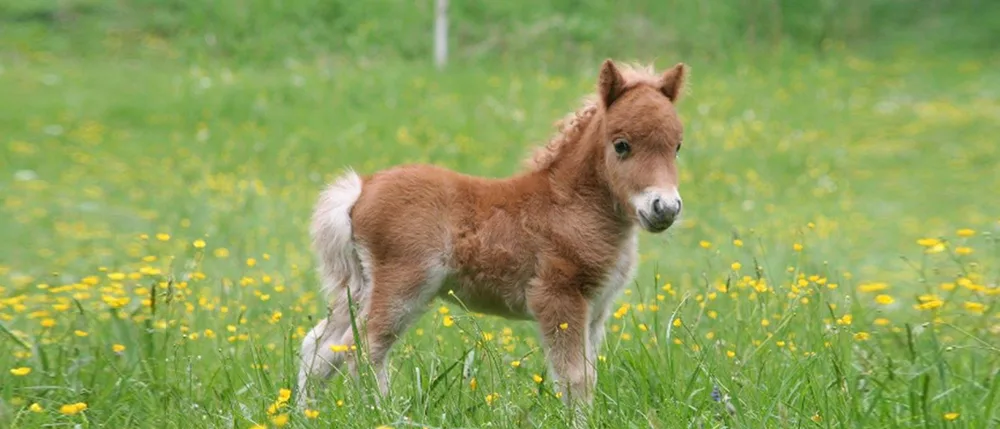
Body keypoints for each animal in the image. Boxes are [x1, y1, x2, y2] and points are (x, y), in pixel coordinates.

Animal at [297, 59, 689, 411]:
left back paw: (304, 413)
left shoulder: (596, 309)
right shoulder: (558, 298)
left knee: (320, 349)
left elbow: (588, 377)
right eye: (621, 145)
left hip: (359, 288)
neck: (569, 205)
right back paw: (386, 415)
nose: (664, 207)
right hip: (402, 286)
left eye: (677, 146)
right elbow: (573, 378)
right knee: (362, 350)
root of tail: (361, 190)